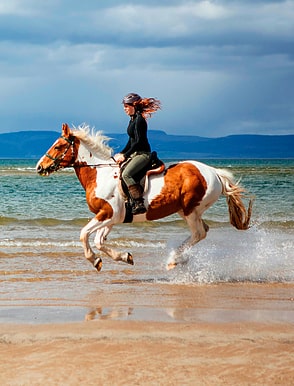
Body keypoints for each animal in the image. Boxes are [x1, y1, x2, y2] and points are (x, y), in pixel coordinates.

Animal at [36, 123, 253, 272]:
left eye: (58, 146)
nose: (39, 167)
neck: (100, 174)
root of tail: (215, 173)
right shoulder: (111, 217)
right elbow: (99, 241)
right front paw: (124, 256)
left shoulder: (107, 214)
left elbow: (84, 234)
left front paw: (95, 260)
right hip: (187, 211)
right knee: (202, 231)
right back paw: (180, 258)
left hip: (190, 209)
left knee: (199, 233)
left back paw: (173, 259)